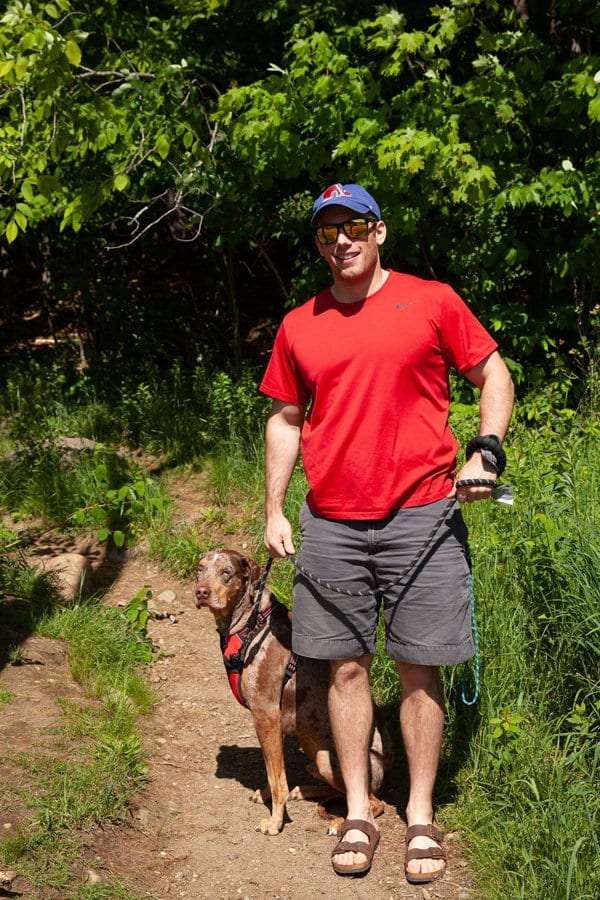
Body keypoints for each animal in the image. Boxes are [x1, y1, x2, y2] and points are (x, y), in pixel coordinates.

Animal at [193, 548, 390, 836]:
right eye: (200, 569)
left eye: (226, 572)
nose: (201, 592)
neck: (250, 624)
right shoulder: (271, 724)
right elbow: (273, 771)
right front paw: (267, 795)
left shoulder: (265, 715)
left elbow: (278, 779)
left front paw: (275, 822)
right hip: (311, 745)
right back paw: (305, 791)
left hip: (329, 759)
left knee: (373, 802)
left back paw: (340, 821)